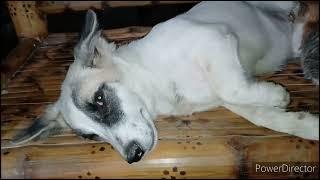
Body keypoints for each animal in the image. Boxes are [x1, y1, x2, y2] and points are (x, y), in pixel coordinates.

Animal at [11, 1, 318, 164]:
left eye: (99, 99)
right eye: (90, 137)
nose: (133, 156)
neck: (157, 79)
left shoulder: (217, 38)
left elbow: (232, 88)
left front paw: (278, 96)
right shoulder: (230, 88)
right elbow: (259, 113)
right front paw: (304, 122)